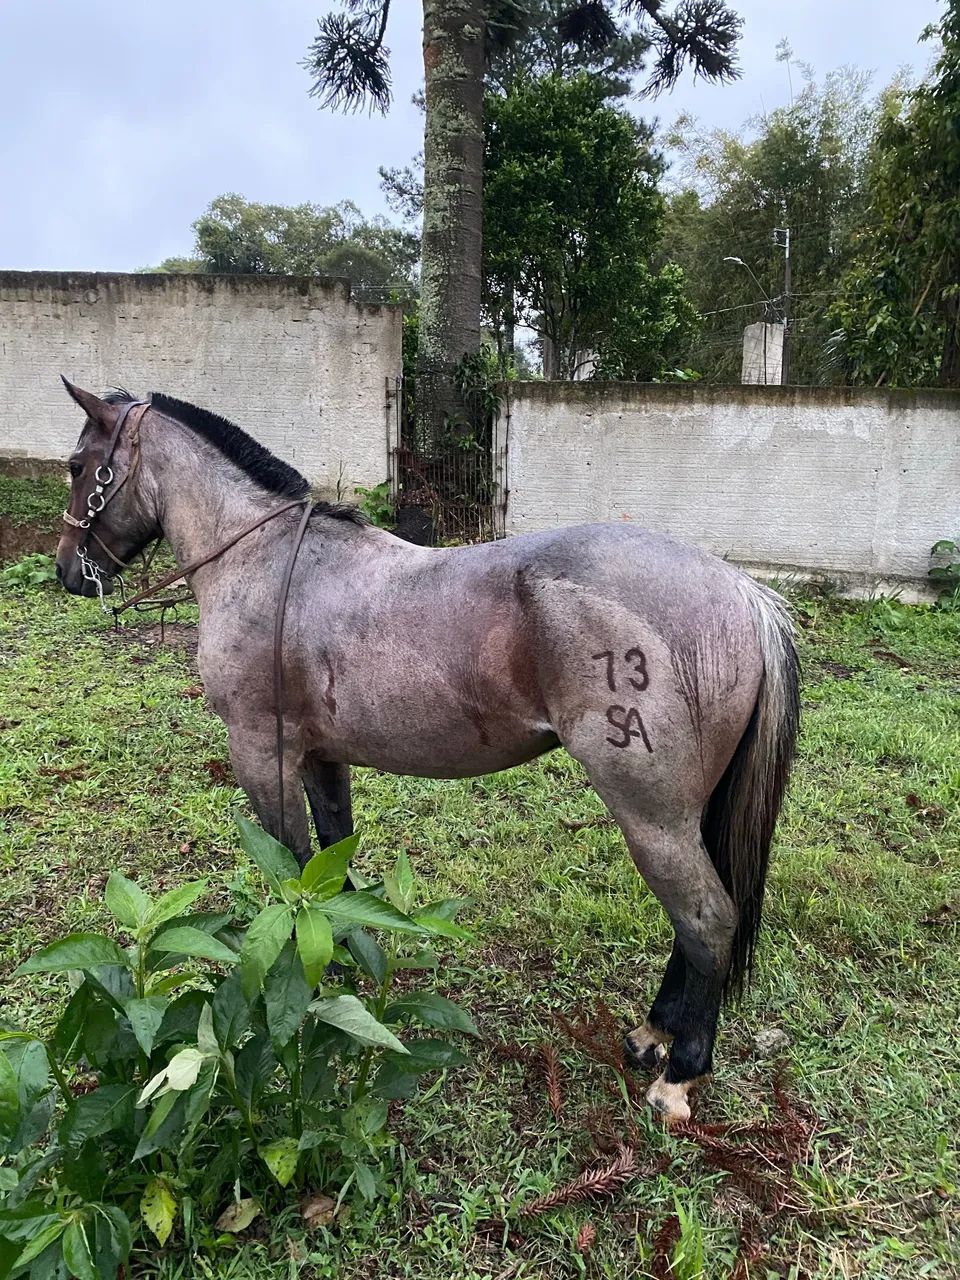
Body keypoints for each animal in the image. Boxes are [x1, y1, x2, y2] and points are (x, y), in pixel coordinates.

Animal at [55, 379, 799, 1124]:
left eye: (79, 466)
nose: (68, 572)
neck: (267, 562)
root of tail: (742, 591)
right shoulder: (320, 756)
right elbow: (329, 862)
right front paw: (345, 960)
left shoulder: (262, 753)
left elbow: (290, 866)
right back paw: (654, 1034)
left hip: (653, 817)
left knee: (706, 921)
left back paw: (680, 1070)